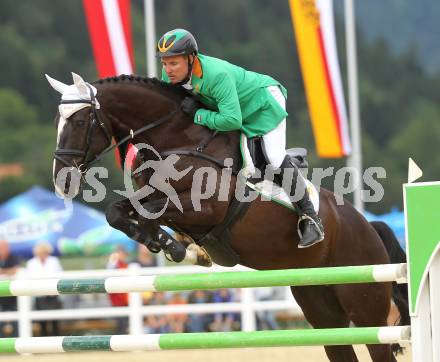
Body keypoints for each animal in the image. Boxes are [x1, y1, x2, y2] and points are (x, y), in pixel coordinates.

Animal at [47, 72, 410, 360]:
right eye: (57, 122)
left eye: (79, 122)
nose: (61, 180)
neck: (176, 140)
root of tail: (369, 227)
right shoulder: (154, 197)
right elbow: (118, 211)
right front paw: (174, 245)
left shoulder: (205, 208)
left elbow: (150, 211)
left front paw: (173, 245)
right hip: (321, 309)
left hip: (364, 306)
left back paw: (312, 227)